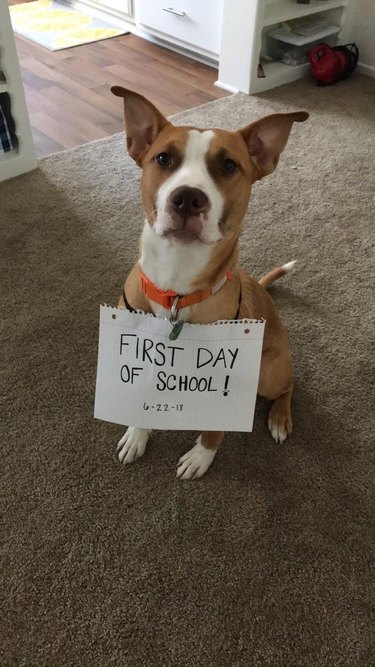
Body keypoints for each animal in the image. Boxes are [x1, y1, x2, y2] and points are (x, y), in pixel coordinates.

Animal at [109, 87, 308, 480]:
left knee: (289, 384)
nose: (187, 197)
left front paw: (201, 455)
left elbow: (214, 428)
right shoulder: (139, 354)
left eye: (228, 166)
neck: (176, 287)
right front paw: (138, 434)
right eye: (164, 158)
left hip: (269, 372)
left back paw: (280, 418)